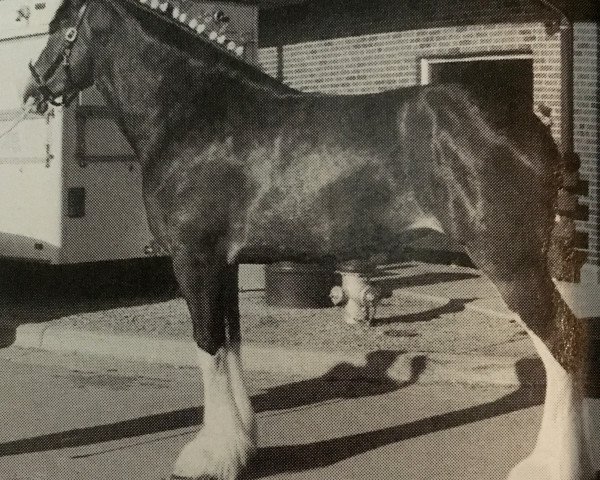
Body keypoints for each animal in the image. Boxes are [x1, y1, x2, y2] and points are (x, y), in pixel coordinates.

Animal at [22, 0, 596, 478]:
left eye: (59, 27)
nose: (32, 90)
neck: (196, 113)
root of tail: (534, 129)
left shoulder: (195, 259)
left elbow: (207, 346)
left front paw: (208, 458)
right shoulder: (226, 263)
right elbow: (231, 343)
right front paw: (240, 447)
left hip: (509, 263)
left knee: (562, 345)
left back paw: (549, 466)